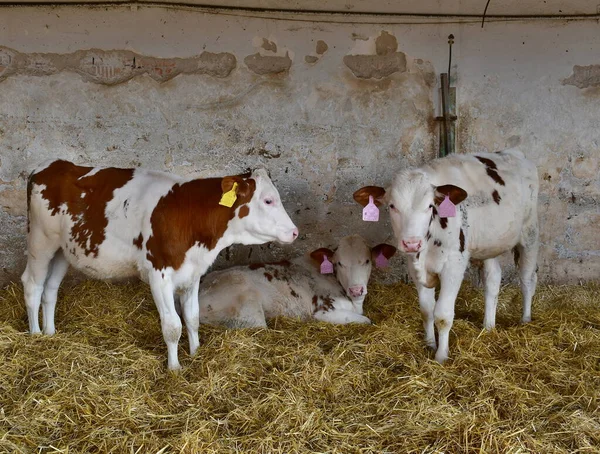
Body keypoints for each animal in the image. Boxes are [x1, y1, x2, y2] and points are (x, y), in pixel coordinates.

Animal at [22, 160, 298, 368]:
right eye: (268, 200)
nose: (295, 232)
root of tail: (49, 166)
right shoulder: (159, 275)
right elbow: (173, 325)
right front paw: (174, 368)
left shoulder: (192, 274)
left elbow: (192, 317)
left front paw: (196, 353)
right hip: (40, 241)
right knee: (32, 284)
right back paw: (35, 335)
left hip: (63, 250)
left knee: (50, 289)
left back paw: (50, 332)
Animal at [195, 236, 396, 328]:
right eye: (339, 263)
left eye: (367, 261)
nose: (356, 290)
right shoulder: (322, 311)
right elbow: (367, 320)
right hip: (249, 309)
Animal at [354, 149, 540, 362]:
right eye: (392, 206)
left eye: (430, 206)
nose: (411, 243)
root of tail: (514, 153)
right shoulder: (413, 265)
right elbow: (426, 310)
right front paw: (429, 343)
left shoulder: (454, 265)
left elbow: (442, 315)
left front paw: (441, 356)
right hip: (489, 244)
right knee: (493, 279)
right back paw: (488, 326)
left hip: (530, 233)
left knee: (527, 279)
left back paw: (525, 319)